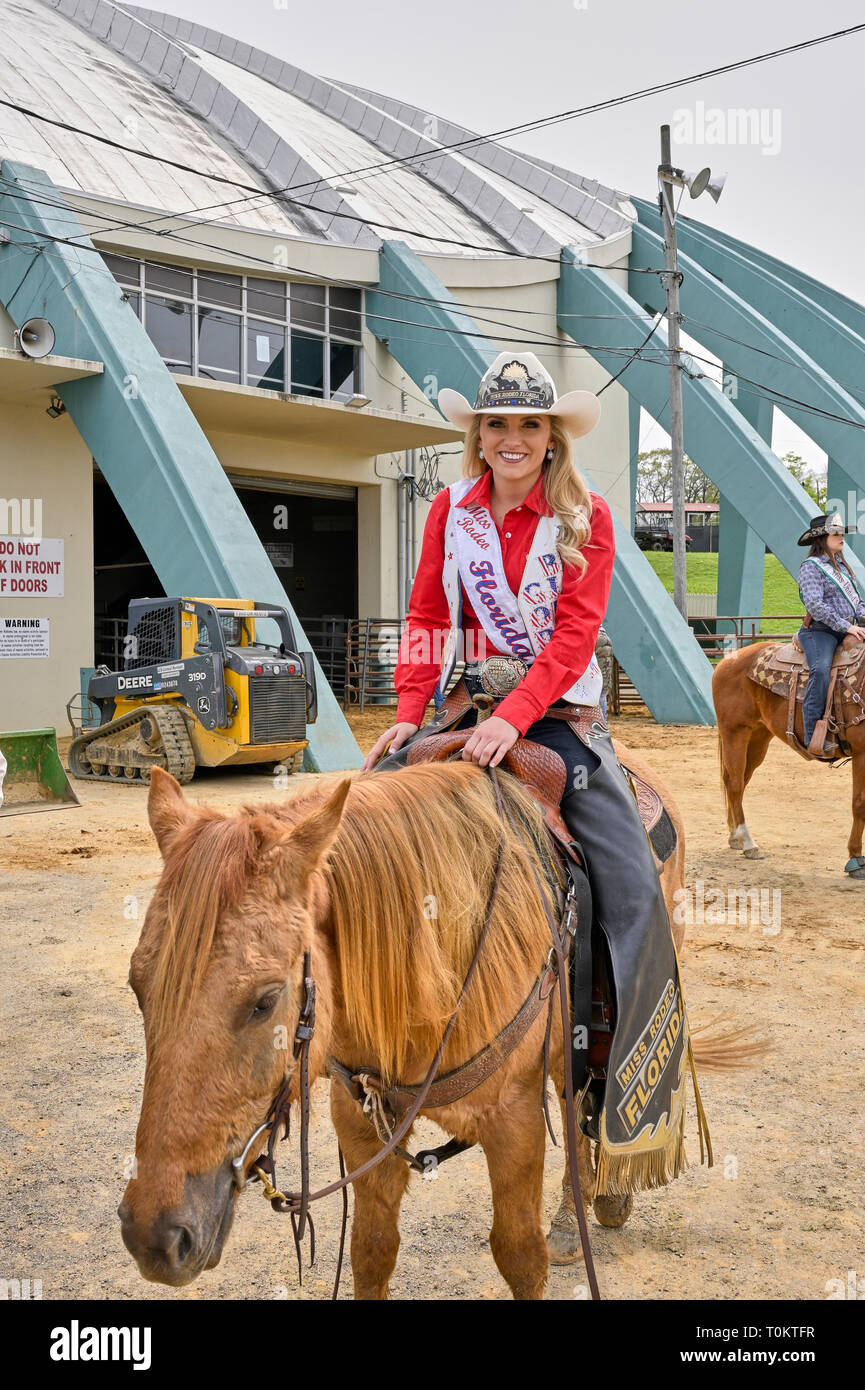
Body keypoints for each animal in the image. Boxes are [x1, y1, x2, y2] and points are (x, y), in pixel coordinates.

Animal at [118, 756, 734, 1295]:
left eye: (266, 1000)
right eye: (138, 987)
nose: (156, 1237)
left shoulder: (514, 1122)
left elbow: (520, 1255)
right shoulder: (363, 1121)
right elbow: (371, 1251)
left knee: (579, 1100)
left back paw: (595, 1201)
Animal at [712, 642, 865, 878]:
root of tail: (728, 660)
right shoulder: (860, 752)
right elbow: (859, 803)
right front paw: (855, 858)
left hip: (758, 737)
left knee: (738, 781)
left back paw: (734, 836)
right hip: (735, 731)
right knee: (735, 784)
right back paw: (749, 843)